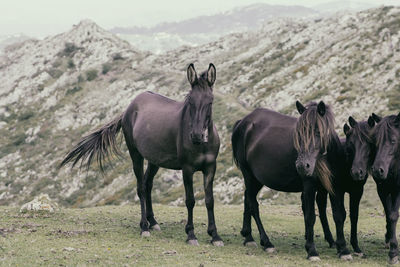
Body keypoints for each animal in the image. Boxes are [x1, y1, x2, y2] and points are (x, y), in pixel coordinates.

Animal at [59, 62, 223, 247]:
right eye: (190, 100)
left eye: (210, 101)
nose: (196, 136)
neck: (202, 146)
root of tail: (129, 107)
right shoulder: (187, 169)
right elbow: (190, 201)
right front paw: (191, 235)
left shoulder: (210, 168)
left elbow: (209, 200)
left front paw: (215, 236)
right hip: (135, 155)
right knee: (141, 188)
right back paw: (144, 227)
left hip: (154, 160)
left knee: (147, 184)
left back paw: (153, 222)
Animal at [231, 101, 354, 260]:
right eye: (298, 134)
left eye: (318, 132)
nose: (302, 166)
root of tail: (243, 122)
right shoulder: (309, 187)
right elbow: (310, 217)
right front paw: (312, 250)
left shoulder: (333, 187)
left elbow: (338, 215)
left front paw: (343, 250)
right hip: (249, 175)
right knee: (253, 204)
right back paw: (267, 242)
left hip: (256, 180)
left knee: (247, 198)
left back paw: (248, 237)